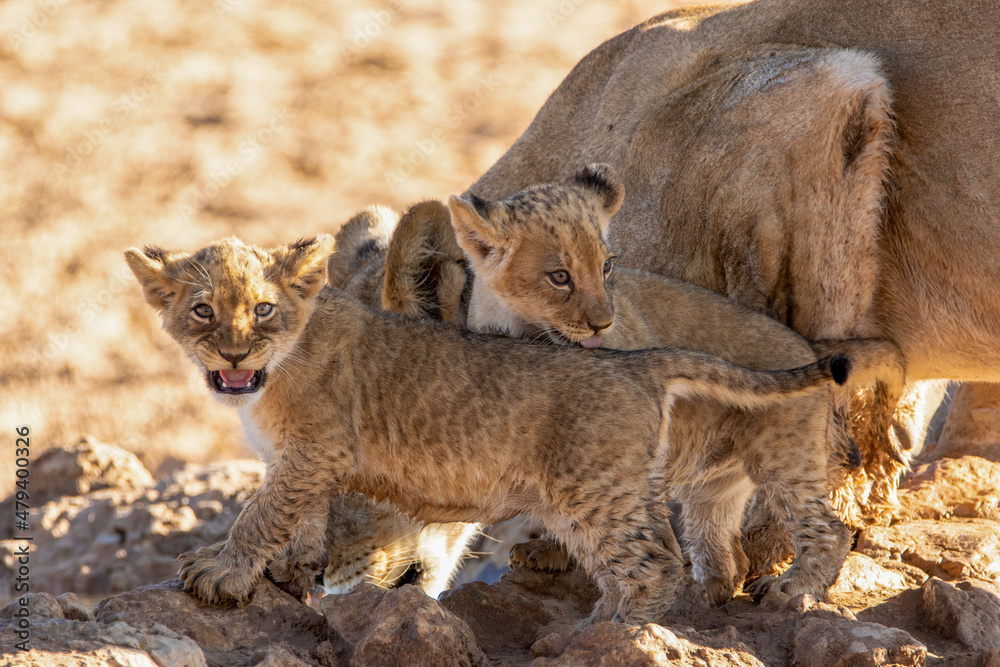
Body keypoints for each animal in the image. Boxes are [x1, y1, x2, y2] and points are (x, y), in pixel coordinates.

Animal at [125, 235, 850, 625]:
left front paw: (222, 569)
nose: (234, 356)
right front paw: (290, 568)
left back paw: (612, 634)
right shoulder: (304, 461)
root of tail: (637, 362)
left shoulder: (315, 449)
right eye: (203, 310)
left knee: (668, 561)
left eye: (263, 309)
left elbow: (262, 512)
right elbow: (299, 519)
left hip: (603, 487)